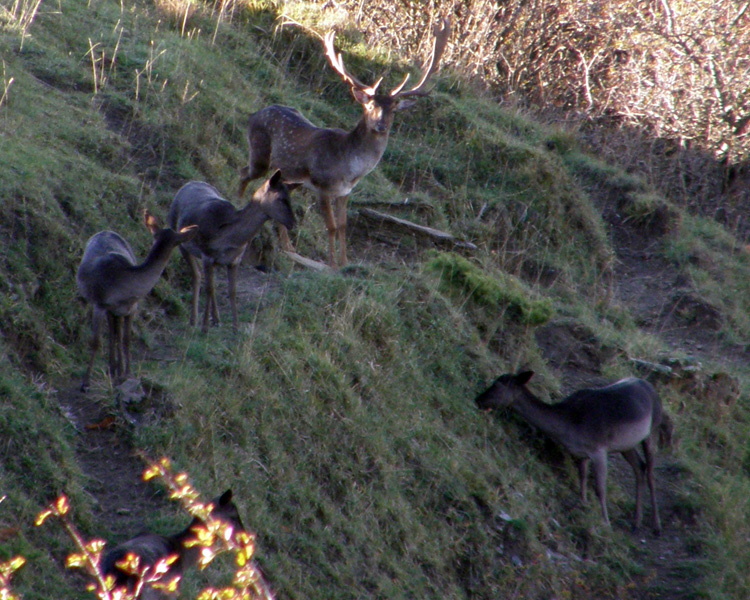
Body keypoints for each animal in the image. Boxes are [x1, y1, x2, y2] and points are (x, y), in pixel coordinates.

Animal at [78, 211, 198, 390]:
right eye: (177, 241)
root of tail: (105, 231)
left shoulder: (132, 308)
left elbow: (126, 340)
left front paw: (127, 374)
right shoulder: (99, 303)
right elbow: (96, 341)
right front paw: (85, 382)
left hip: (115, 312)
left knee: (115, 333)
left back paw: (115, 370)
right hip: (106, 308)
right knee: (113, 333)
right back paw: (112, 369)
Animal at [169, 171, 296, 336]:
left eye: (290, 197)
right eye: (280, 198)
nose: (293, 222)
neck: (230, 239)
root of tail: (187, 184)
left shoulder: (234, 261)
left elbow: (232, 291)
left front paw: (236, 329)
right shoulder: (207, 255)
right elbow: (209, 288)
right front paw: (204, 328)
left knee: (207, 279)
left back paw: (216, 319)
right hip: (179, 239)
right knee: (196, 275)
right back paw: (194, 320)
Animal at [241, 18, 452, 268]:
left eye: (393, 109)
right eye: (370, 105)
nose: (381, 125)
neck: (349, 167)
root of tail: (253, 115)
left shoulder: (345, 192)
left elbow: (343, 226)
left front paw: (344, 262)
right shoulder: (322, 185)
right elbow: (331, 227)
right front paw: (332, 264)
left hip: (286, 174)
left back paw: (287, 246)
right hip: (260, 152)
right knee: (244, 173)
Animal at [472, 370, 672, 536]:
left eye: (497, 385)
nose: (478, 399)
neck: (570, 425)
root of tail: (654, 390)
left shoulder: (599, 450)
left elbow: (600, 489)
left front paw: (605, 523)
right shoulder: (580, 453)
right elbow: (581, 477)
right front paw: (583, 505)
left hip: (653, 429)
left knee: (650, 472)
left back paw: (656, 525)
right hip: (626, 445)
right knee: (639, 467)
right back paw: (636, 523)